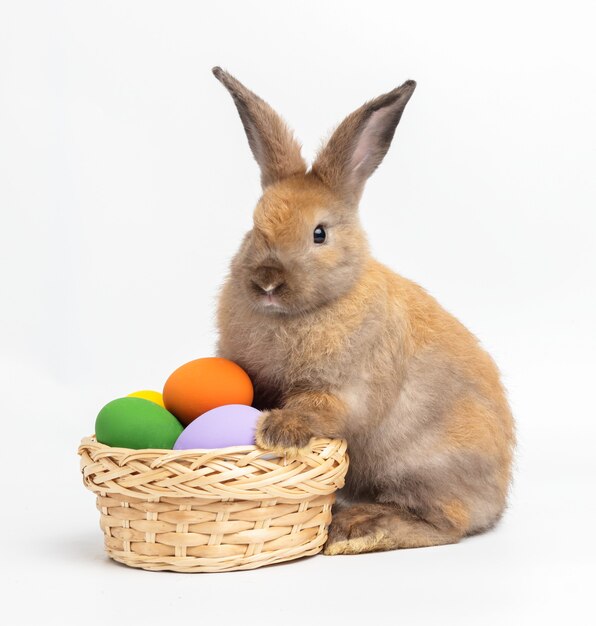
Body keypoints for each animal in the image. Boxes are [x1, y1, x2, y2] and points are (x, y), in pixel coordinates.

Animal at [212, 68, 516, 552]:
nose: (267, 281)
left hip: (422, 468)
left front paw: (278, 432)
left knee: (446, 523)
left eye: (319, 234)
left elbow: (321, 409)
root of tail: (498, 503)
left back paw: (357, 528)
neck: (301, 312)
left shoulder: (345, 389)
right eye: (254, 227)